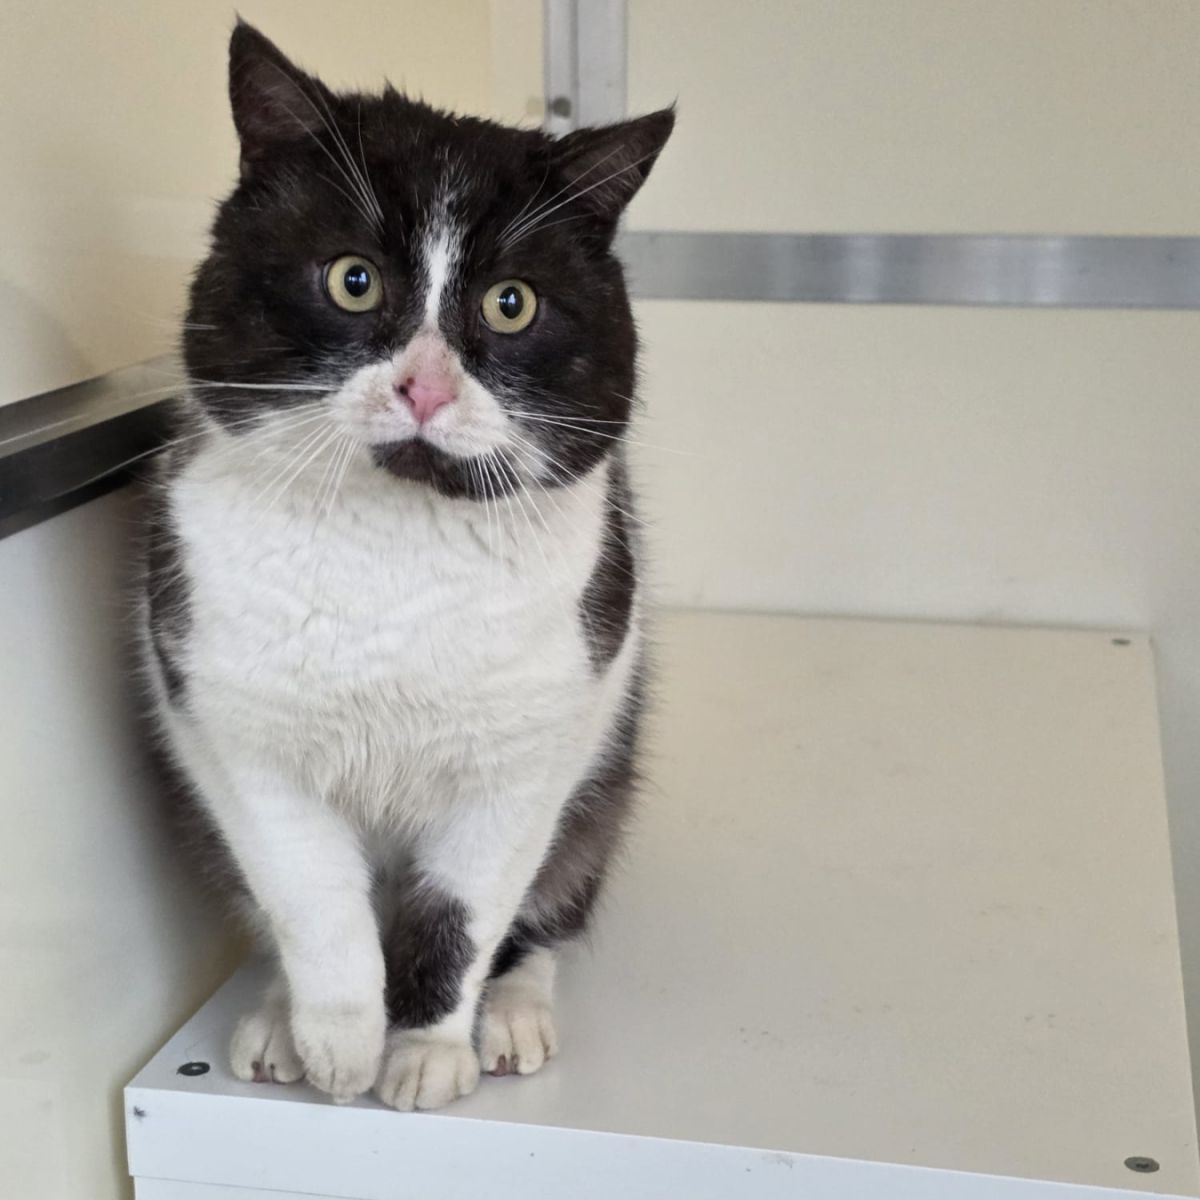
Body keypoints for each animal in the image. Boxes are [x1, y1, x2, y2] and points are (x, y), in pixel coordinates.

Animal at [138, 20, 673, 1112]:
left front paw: (425, 1049)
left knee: (551, 905)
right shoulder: (227, 724)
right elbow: (310, 898)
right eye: (353, 280)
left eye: (511, 305)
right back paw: (277, 1019)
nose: (424, 386)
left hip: (603, 785)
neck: (391, 554)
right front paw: (340, 1042)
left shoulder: (532, 749)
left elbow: (463, 912)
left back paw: (511, 1014)